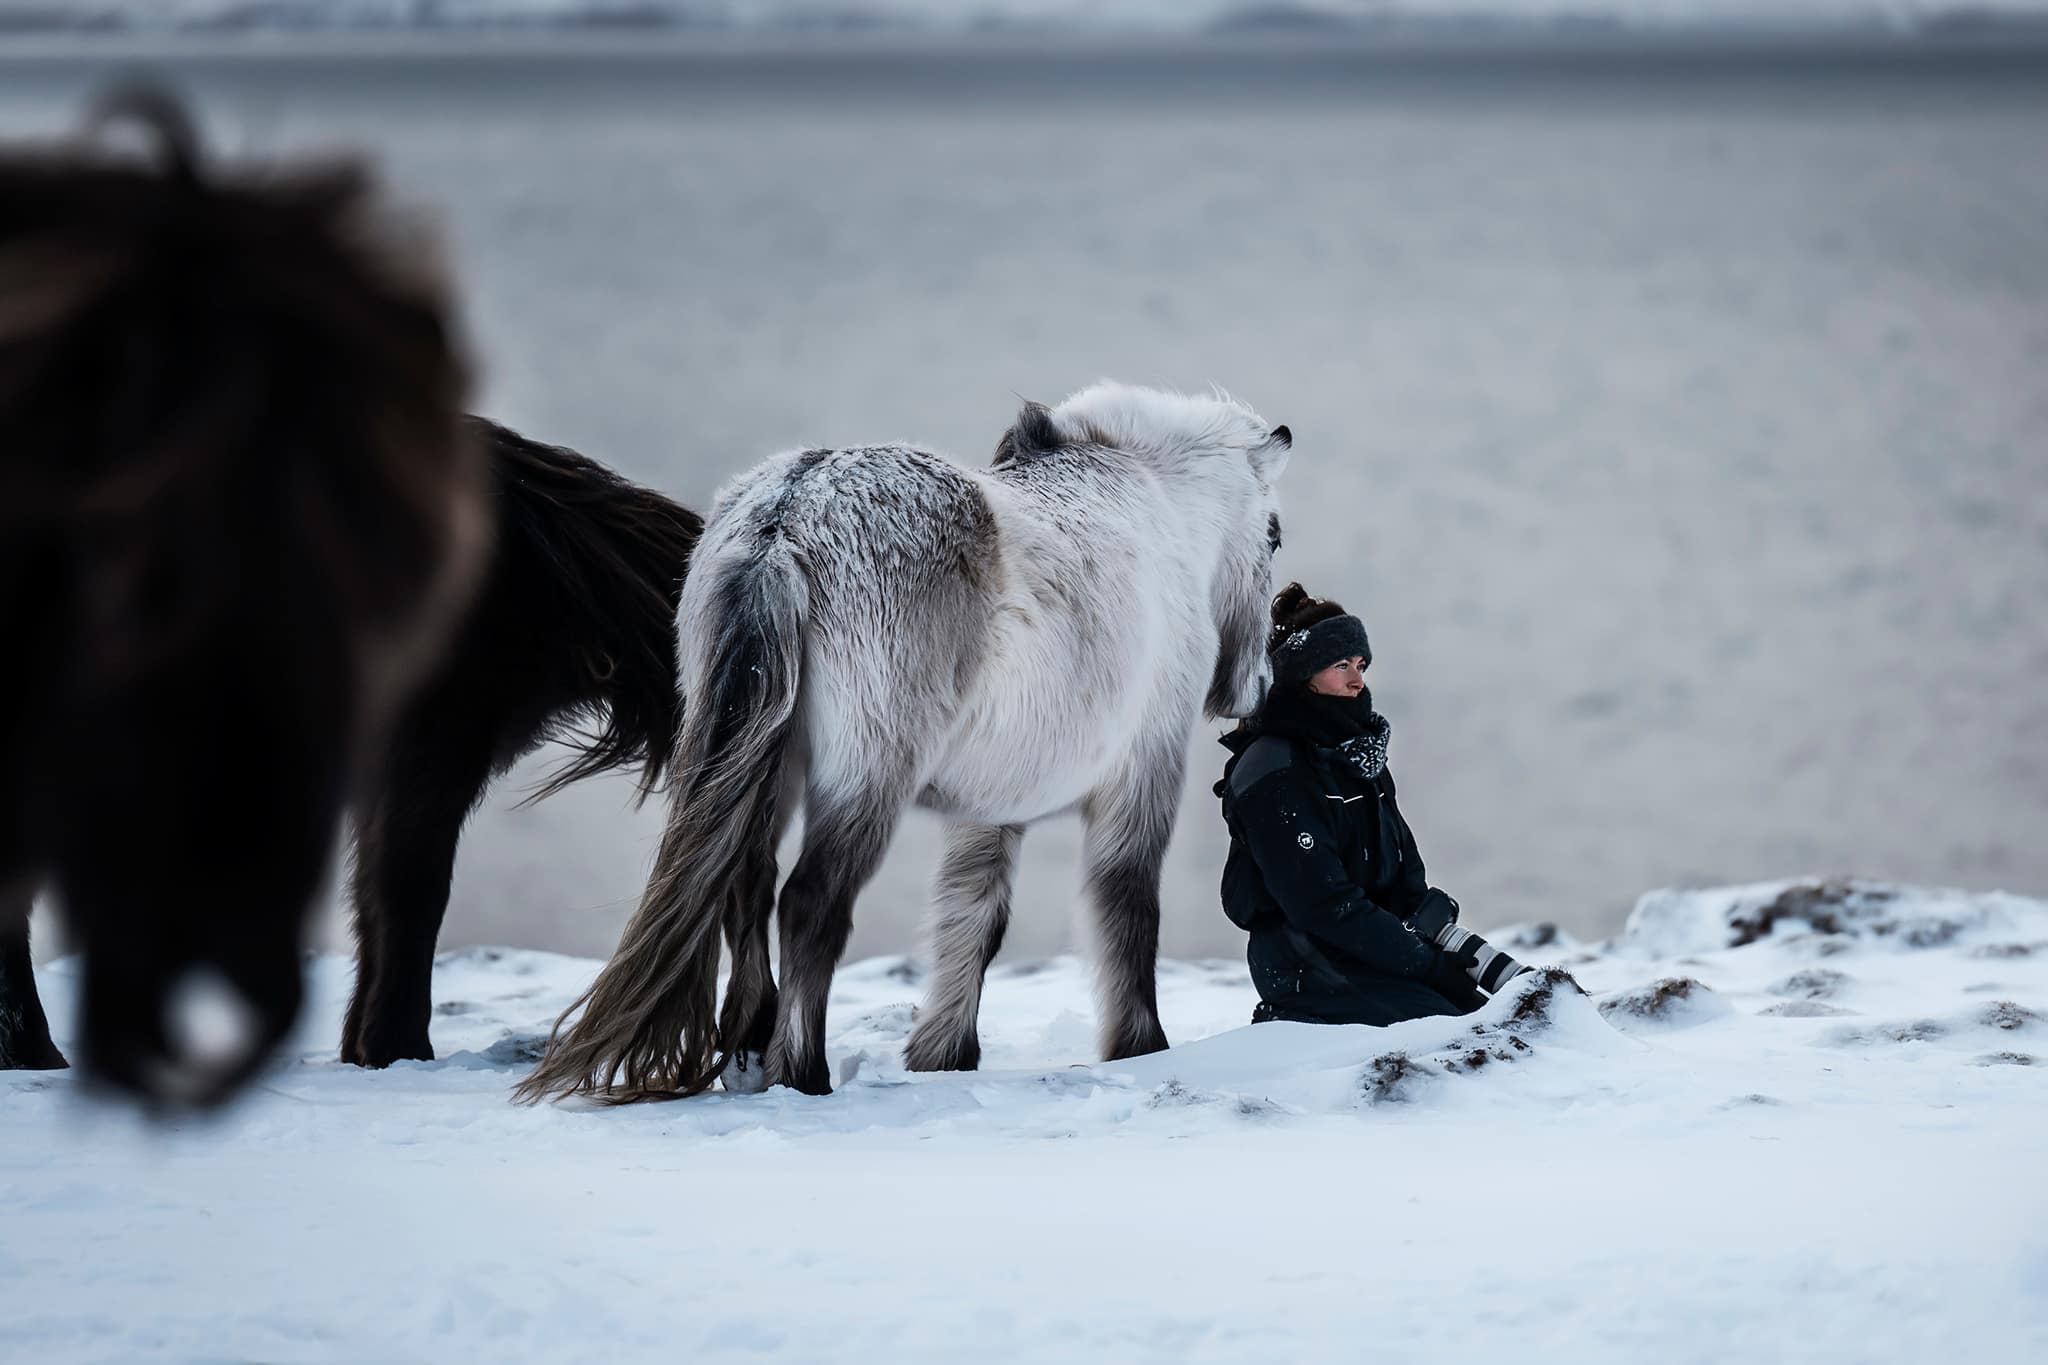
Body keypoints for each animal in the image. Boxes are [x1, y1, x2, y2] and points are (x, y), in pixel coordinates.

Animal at [516, 382, 1291, 1103]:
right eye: (1275, 535)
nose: (1258, 685)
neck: (1150, 504)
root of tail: (785, 518)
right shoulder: (1141, 775)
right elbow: (1127, 910)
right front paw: (1140, 1047)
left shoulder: (991, 807)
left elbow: (974, 918)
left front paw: (942, 1052)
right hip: (864, 780)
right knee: (808, 906)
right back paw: (802, 1073)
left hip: (769, 765)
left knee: (748, 889)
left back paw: (749, 1053)